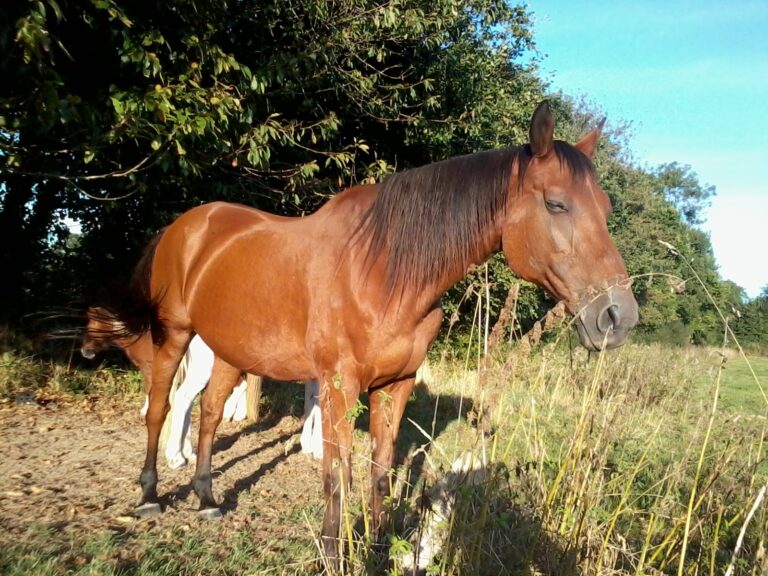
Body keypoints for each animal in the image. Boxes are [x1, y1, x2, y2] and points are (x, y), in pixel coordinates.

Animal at [81, 307, 324, 467]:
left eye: (95, 321)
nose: (85, 350)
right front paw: (318, 450)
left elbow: (312, 404)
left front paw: (310, 446)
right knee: (183, 398)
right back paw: (177, 456)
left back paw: (185, 452)